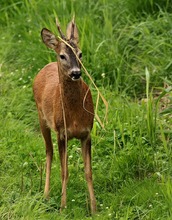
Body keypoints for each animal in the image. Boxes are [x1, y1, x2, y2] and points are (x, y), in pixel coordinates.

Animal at [32, 18, 97, 214]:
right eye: (62, 56)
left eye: (80, 53)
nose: (76, 73)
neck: (74, 116)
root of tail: (46, 66)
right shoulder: (62, 133)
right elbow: (64, 171)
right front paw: (63, 206)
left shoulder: (87, 132)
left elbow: (88, 172)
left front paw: (94, 208)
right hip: (42, 119)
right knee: (48, 152)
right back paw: (45, 195)